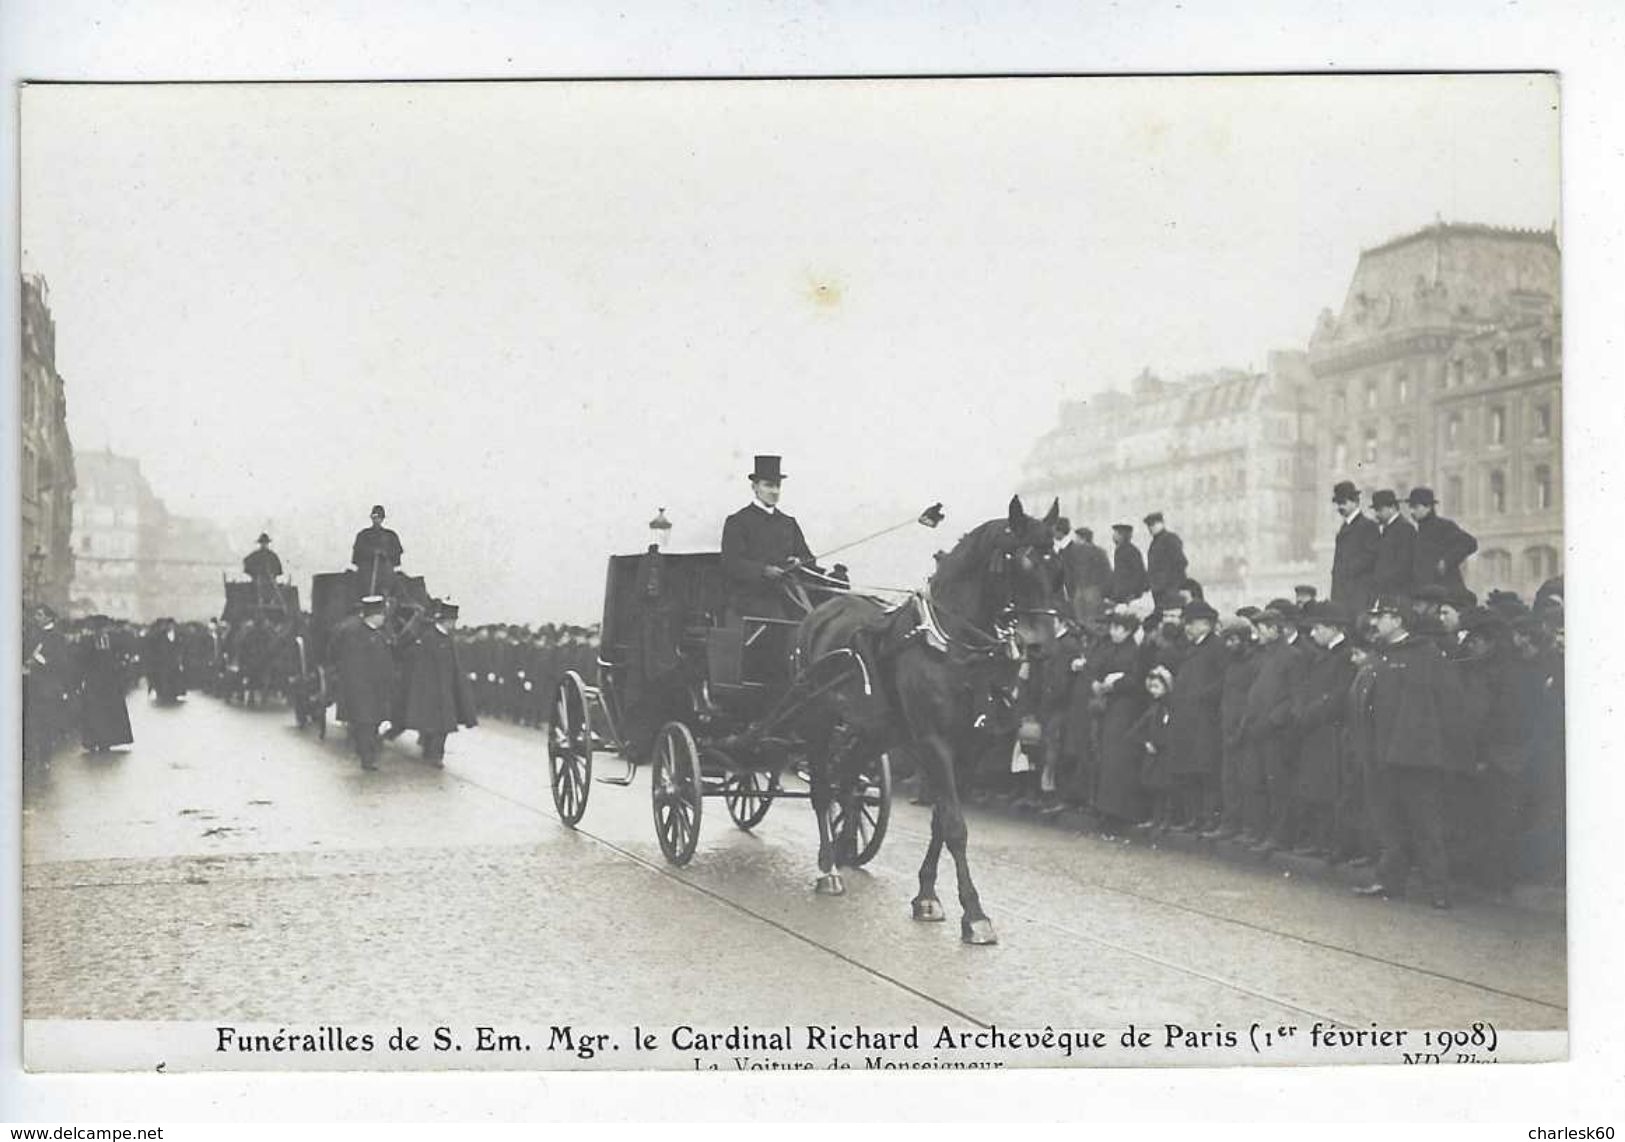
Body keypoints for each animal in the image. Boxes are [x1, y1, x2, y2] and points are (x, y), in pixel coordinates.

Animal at [796, 497, 1066, 942]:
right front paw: (974, 913)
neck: (957, 649)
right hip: (817, 719)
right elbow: (955, 824)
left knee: (847, 781)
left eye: (1057, 567)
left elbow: (942, 821)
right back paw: (828, 868)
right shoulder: (933, 741)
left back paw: (845, 845)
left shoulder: (972, 747)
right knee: (821, 788)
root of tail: (822, 611)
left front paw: (927, 896)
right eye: (1019, 563)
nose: (1040, 646)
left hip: (875, 731)